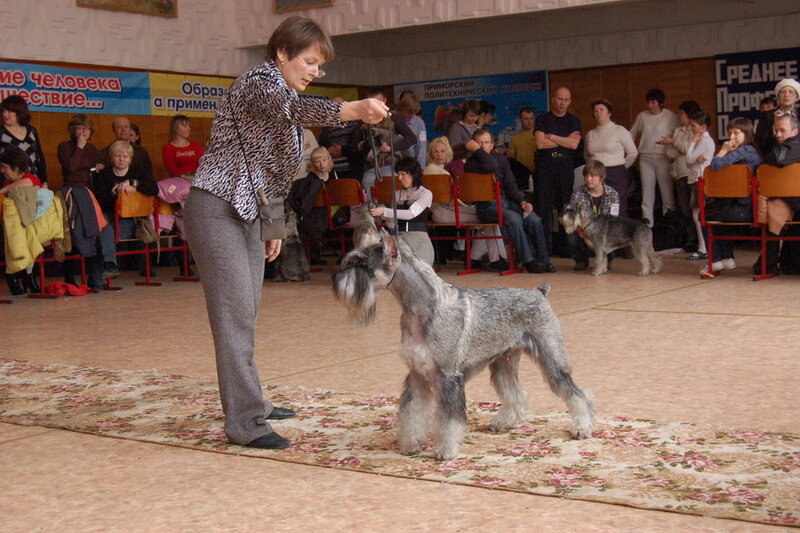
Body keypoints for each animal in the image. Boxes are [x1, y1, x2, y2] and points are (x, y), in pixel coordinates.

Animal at [332, 231, 592, 460]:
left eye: (363, 264)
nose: (335, 280)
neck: (420, 308)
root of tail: (539, 292)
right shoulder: (417, 374)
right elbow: (412, 411)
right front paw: (409, 444)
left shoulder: (448, 377)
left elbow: (449, 421)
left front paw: (445, 451)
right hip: (503, 362)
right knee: (515, 392)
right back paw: (505, 422)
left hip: (552, 359)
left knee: (577, 393)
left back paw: (582, 426)